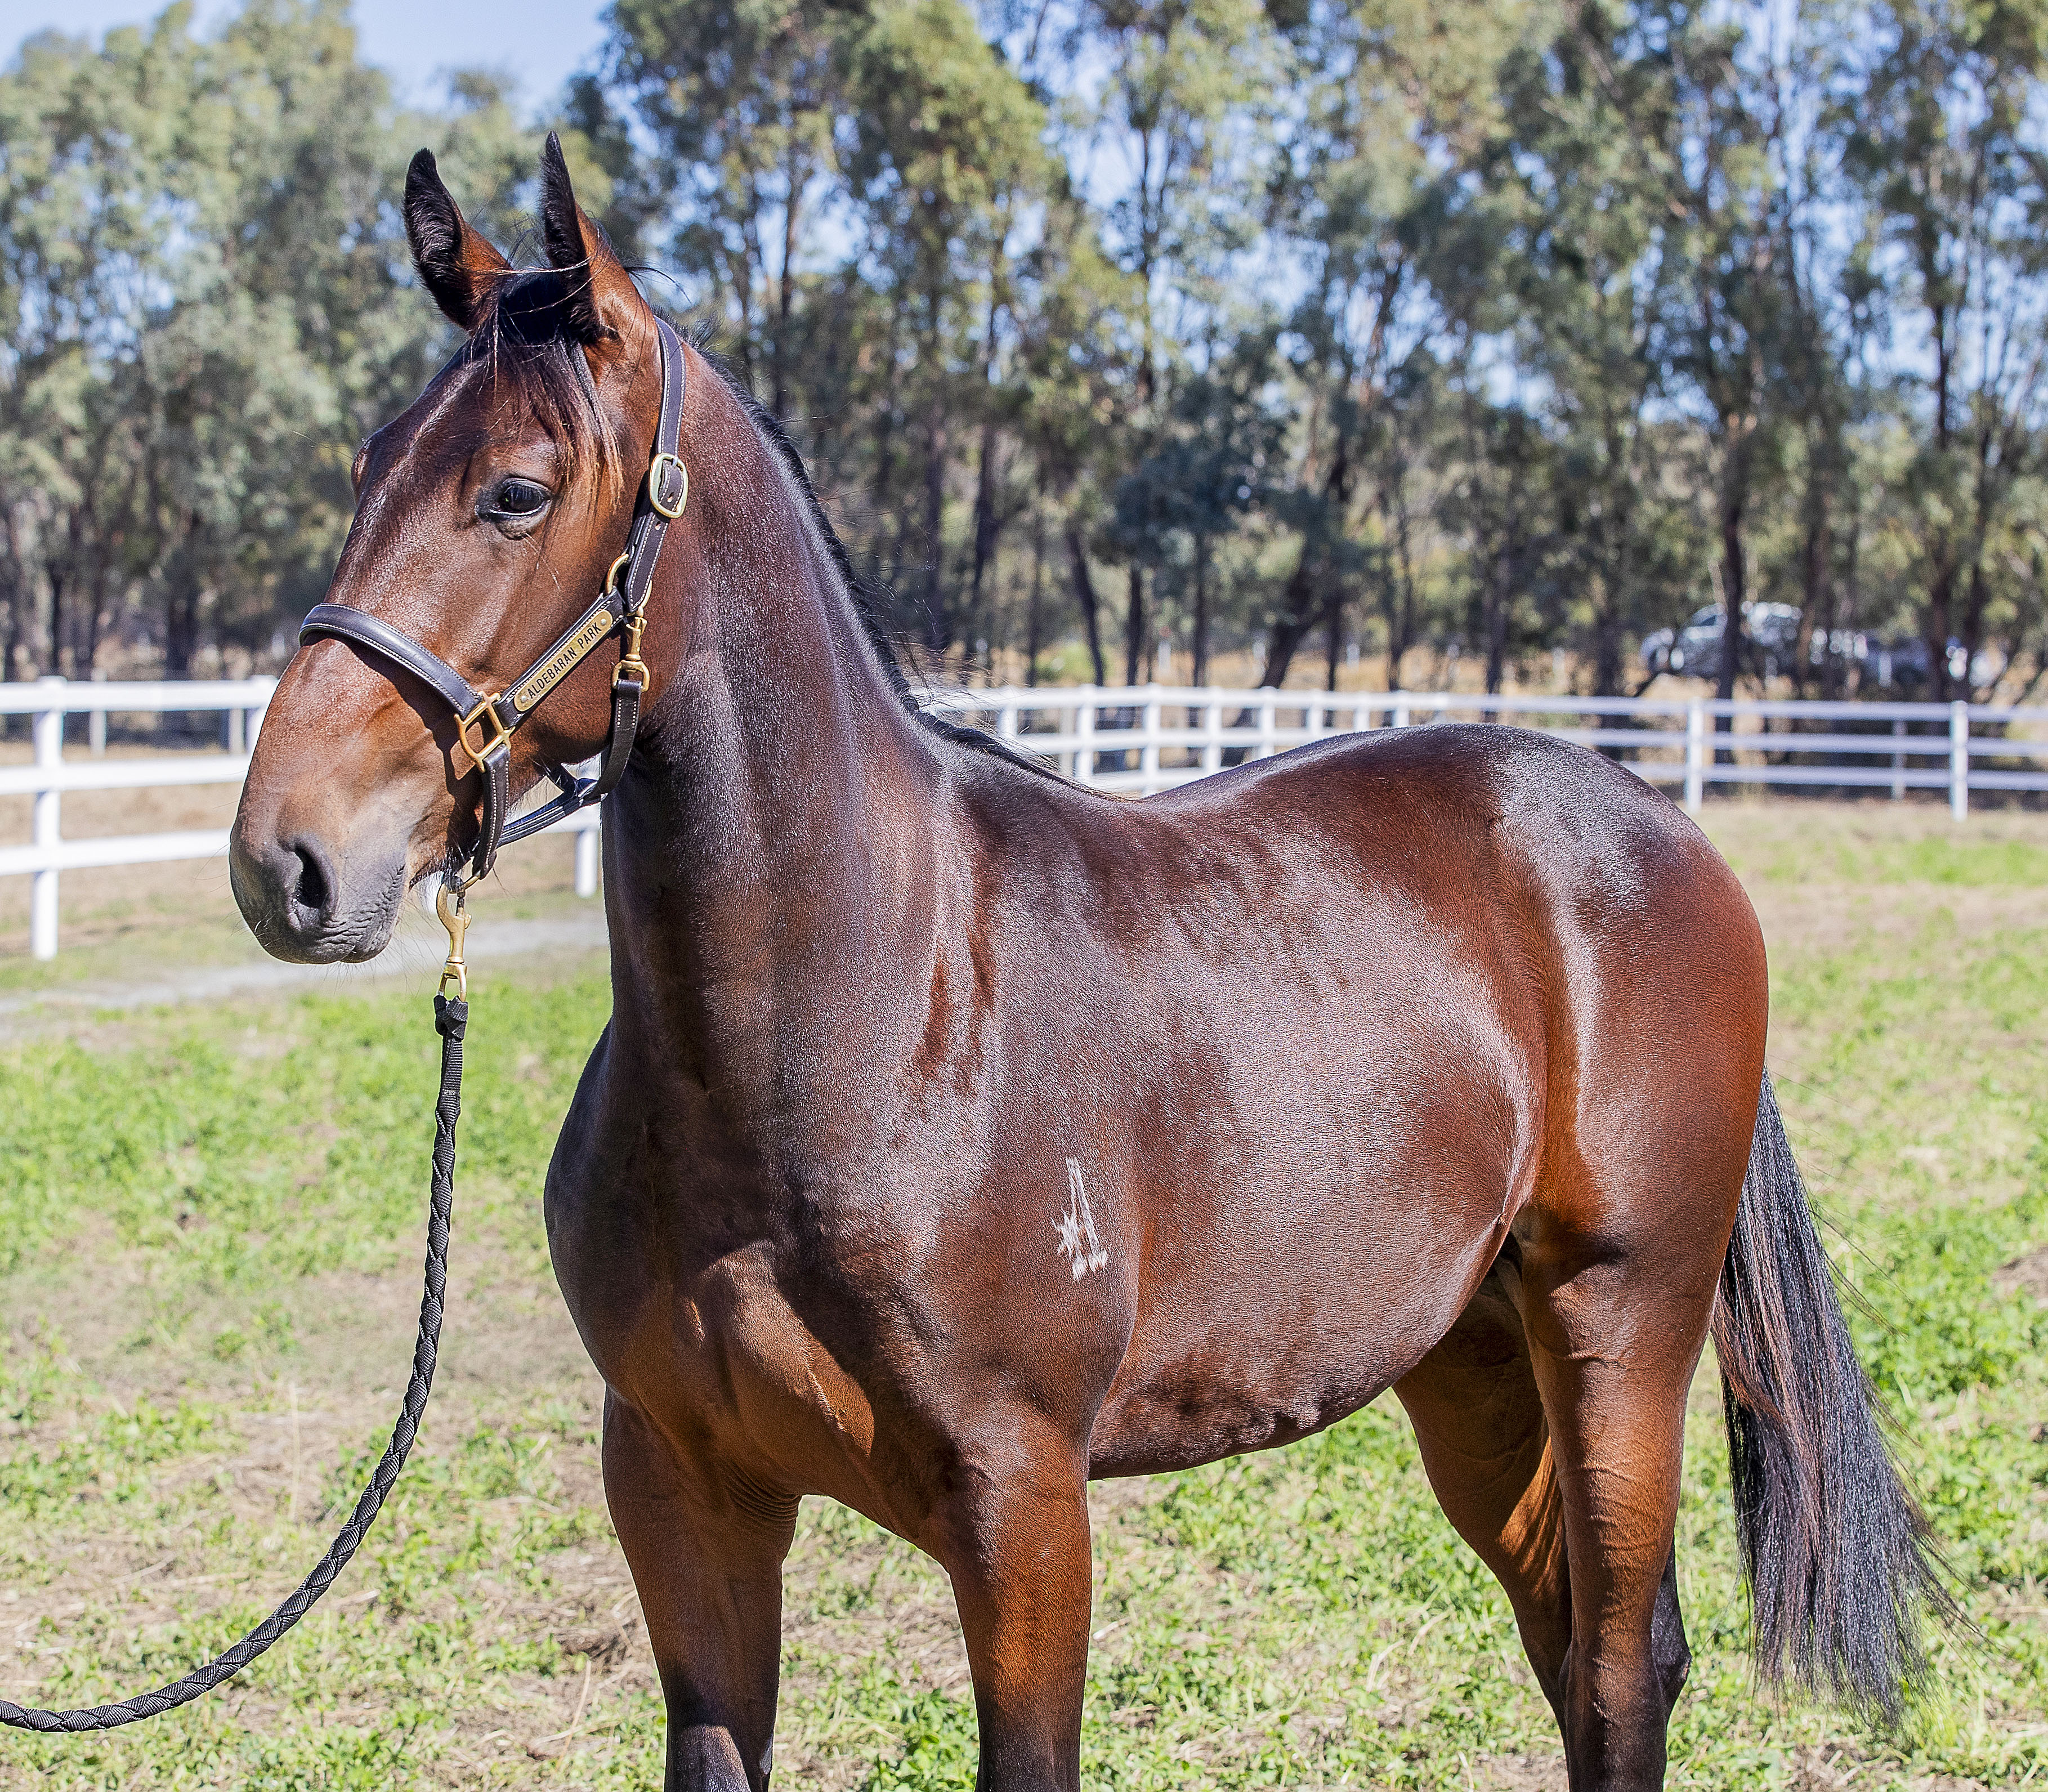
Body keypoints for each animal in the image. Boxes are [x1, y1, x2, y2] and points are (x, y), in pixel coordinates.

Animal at [228, 138, 1945, 1791]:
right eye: (369, 463)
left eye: (515, 492)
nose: (286, 860)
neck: (851, 1024)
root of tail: (1657, 828)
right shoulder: (678, 1483)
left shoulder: (1022, 1507)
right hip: (1471, 1360)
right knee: (1581, 1650)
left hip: (1617, 1334)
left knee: (1615, 1667)